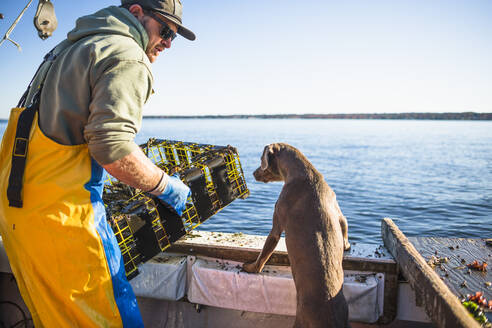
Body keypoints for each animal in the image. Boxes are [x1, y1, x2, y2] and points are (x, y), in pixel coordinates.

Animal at [242, 144, 350, 328]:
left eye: (260, 161)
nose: (254, 173)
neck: (307, 174)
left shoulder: (277, 223)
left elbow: (263, 255)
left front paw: (250, 267)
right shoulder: (338, 211)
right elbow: (345, 225)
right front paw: (347, 245)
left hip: (300, 318)